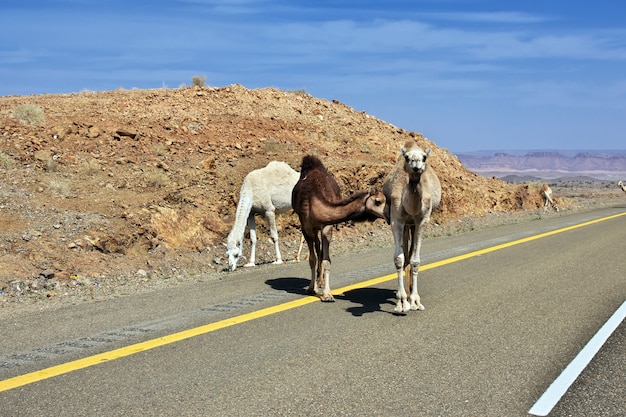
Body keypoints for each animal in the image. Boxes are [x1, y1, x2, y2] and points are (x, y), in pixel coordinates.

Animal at [292, 154, 386, 300]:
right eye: (378, 201)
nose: (389, 213)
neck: (313, 202)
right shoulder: (305, 227)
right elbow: (312, 259)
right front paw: (311, 288)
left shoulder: (327, 226)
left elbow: (327, 260)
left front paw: (327, 294)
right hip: (312, 228)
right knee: (316, 248)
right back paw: (317, 282)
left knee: (319, 249)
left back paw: (320, 281)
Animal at [378, 141, 442, 314]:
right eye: (407, 157)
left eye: (424, 157)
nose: (416, 165)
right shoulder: (397, 220)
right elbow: (399, 259)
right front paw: (401, 302)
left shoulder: (422, 220)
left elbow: (415, 260)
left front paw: (415, 301)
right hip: (406, 225)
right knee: (406, 254)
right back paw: (405, 293)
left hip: (412, 225)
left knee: (411, 252)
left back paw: (410, 291)